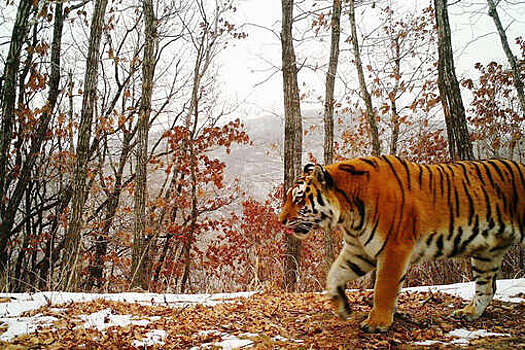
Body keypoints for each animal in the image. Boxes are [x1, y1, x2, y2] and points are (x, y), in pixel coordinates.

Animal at [280, 157, 520, 334]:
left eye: (299, 200)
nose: (281, 221)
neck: (348, 213)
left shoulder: (394, 248)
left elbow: (383, 288)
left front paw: (377, 323)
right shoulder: (358, 250)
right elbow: (334, 273)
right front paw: (342, 307)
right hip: (487, 253)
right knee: (487, 287)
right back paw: (468, 313)